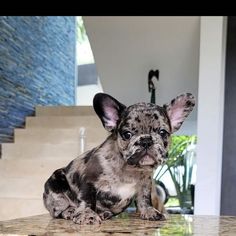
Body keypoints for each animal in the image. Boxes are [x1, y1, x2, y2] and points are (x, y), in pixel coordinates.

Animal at [43, 91, 195, 223]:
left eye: (163, 132)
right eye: (127, 134)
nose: (146, 140)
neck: (130, 169)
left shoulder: (145, 184)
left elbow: (144, 199)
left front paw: (149, 211)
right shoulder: (88, 181)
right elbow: (87, 201)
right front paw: (87, 215)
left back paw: (104, 213)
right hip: (56, 186)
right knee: (58, 210)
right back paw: (70, 211)